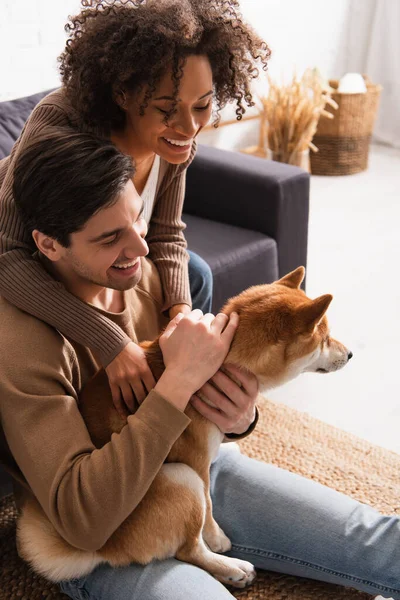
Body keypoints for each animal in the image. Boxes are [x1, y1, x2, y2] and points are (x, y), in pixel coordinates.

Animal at [17, 268, 352, 584]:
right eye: (325, 338)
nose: (350, 354)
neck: (220, 365)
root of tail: (102, 551)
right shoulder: (197, 463)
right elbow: (210, 506)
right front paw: (216, 537)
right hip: (180, 477)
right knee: (189, 550)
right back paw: (231, 567)